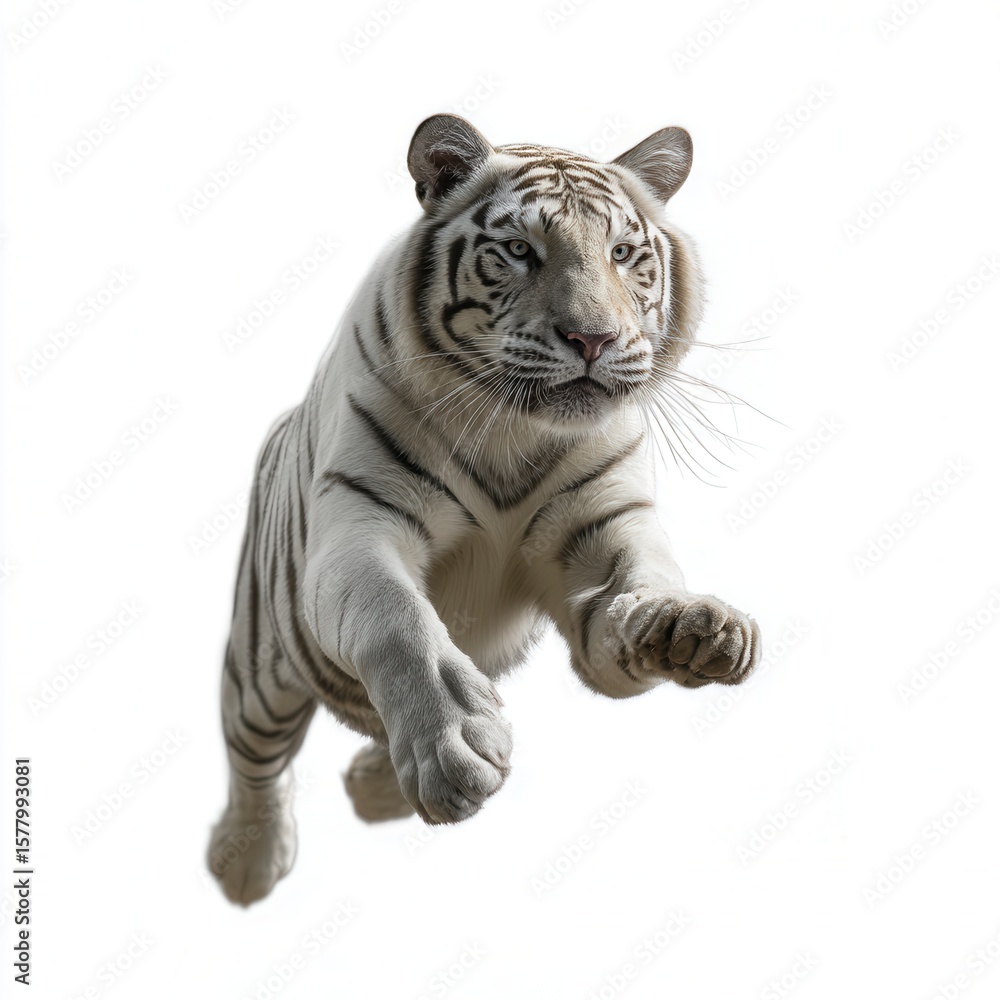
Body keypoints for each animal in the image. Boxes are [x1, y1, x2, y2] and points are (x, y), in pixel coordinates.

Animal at [207, 113, 761, 905]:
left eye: (623, 254)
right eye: (520, 251)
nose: (593, 339)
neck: (514, 430)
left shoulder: (604, 529)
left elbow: (638, 588)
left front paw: (690, 626)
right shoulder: (357, 530)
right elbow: (398, 621)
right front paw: (451, 747)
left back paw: (374, 786)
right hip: (261, 668)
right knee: (253, 758)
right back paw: (249, 861)